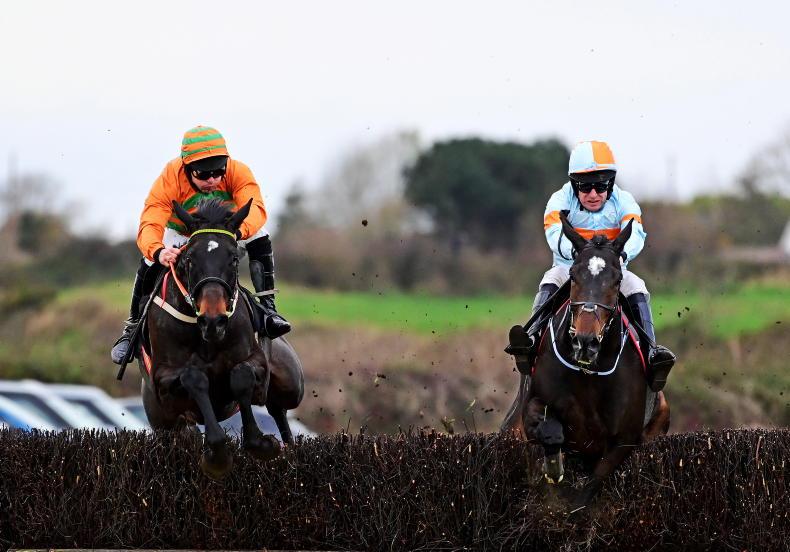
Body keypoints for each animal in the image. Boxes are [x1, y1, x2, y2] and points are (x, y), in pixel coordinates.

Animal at [138, 198, 304, 479]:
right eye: (189, 259)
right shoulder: (162, 380)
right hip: (161, 420)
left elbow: (241, 376)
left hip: (291, 384)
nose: (213, 320)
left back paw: (290, 449)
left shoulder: (257, 361)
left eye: (234, 259)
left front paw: (260, 444)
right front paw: (217, 456)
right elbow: (194, 378)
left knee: (278, 408)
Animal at [502, 211, 670, 509]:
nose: (585, 341)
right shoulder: (532, 410)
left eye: (617, 279)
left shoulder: (624, 440)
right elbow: (551, 431)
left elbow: (588, 491)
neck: (588, 373)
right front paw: (553, 468)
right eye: (573, 275)